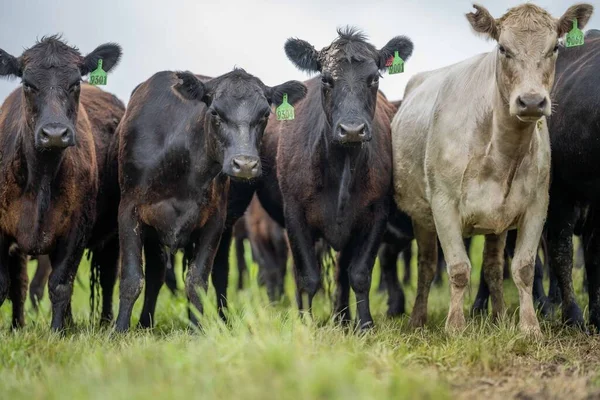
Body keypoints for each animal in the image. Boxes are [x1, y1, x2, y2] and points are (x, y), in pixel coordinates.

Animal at [0, 36, 122, 330]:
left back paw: (104, 324)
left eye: (75, 83)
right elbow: (5, 285)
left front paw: (56, 332)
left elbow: (60, 285)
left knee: (108, 277)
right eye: (27, 84)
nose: (54, 133)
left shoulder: (76, 229)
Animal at [392, 3, 592, 334]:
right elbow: (459, 269)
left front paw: (529, 327)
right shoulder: (443, 206)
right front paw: (455, 327)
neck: (501, 152)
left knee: (493, 266)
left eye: (555, 47)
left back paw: (498, 316)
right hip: (421, 215)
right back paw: (417, 319)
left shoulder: (537, 205)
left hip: (496, 221)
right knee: (427, 265)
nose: (532, 101)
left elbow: (522, 268)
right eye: (503, 48)